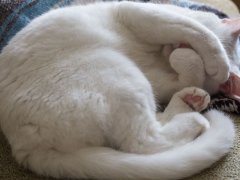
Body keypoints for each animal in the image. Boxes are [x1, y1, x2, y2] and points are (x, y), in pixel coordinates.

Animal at [0, 1, 240, 180]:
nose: (176, 49)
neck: (159, 59)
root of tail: (25, 146)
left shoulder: (161, 79)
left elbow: (188, 74)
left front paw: (190, 64)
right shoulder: (140, 14)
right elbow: (200, 32)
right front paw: (216, 62)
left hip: (129, 79)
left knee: (147, 136)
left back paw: (189, 103)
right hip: (121, 73)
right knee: (144, 140)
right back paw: (193, 114)